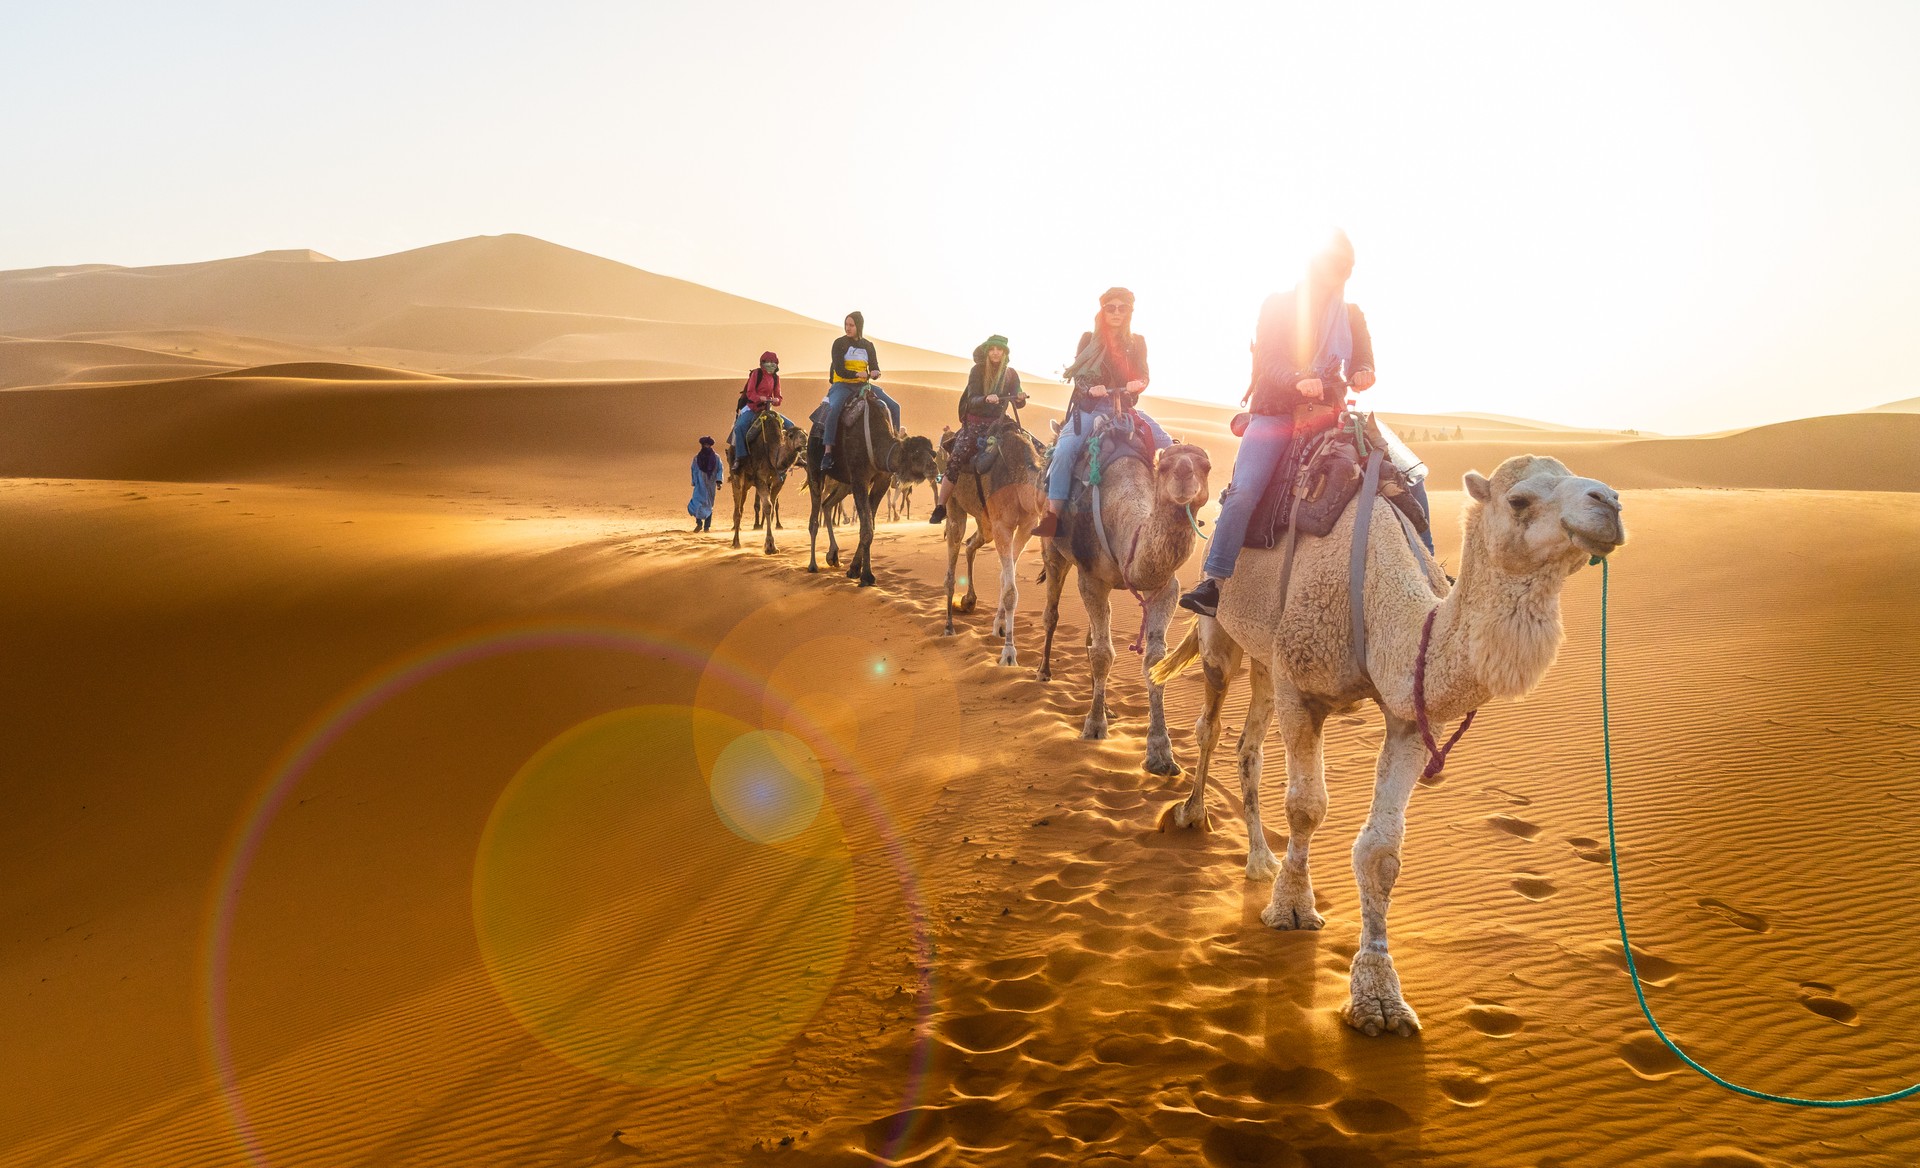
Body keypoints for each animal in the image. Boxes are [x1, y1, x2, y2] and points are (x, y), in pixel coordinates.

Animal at [725, 411, 802, 557]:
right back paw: (736, 543)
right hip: (736, 474)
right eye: (790, 435)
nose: (803, 442)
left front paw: (771, 544)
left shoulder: (779, 480)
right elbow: (767, 506)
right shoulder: (760, 478)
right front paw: (770, 546)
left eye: (805, 434)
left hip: (748, 483)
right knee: (737, 508)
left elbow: (772, 507)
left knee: (741, 505)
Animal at [802, 391, 936, 587]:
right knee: (814, 516)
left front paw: (854, 569)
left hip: (845, 484)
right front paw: (867, 575)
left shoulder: (881, 481)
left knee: (827, 505)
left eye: (931, 452)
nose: (934, 467)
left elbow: (869, 525)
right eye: (916, 454)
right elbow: (866, 529)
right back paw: (812, 565)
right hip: (815, 468)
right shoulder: (860, 478)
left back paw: (833, 555)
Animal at [944, 418, 1052, 664]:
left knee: (971, 544)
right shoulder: (1003, 525)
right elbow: (1010, 590)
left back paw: (969, 600)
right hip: (955, 504)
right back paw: (949, 626)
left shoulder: (1026, 526)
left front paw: (999, 627)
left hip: (985, 522)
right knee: (954, 549)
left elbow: (1005, 578)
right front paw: (1009, 654)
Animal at [1044, 430, 1205, 776]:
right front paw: (1094, 727)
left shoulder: (1164, 586)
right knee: (1052, 612)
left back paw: (1105, 704)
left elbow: (1154, 659)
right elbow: (1104, 654)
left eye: (1206, 465)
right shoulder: (1091, 578)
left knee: (1090, 635)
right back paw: (1042, 672)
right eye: (1165, 465)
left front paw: (1161, 753)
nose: (1185, 473)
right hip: (1053, 548)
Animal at [1144, 451, 1628, 1037]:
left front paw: (1379, 996)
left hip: (1264, 659)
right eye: (1519, 500)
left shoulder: (1408, 715)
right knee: (1210, 726)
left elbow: (1382, 851)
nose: (1609, 503)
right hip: (1221, 631)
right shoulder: (1300, 684)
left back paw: (1259, 859)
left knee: (1248, 746)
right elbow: (1306, 807)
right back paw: (1191, 814)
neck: (1379, 598)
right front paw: (1292, 909)